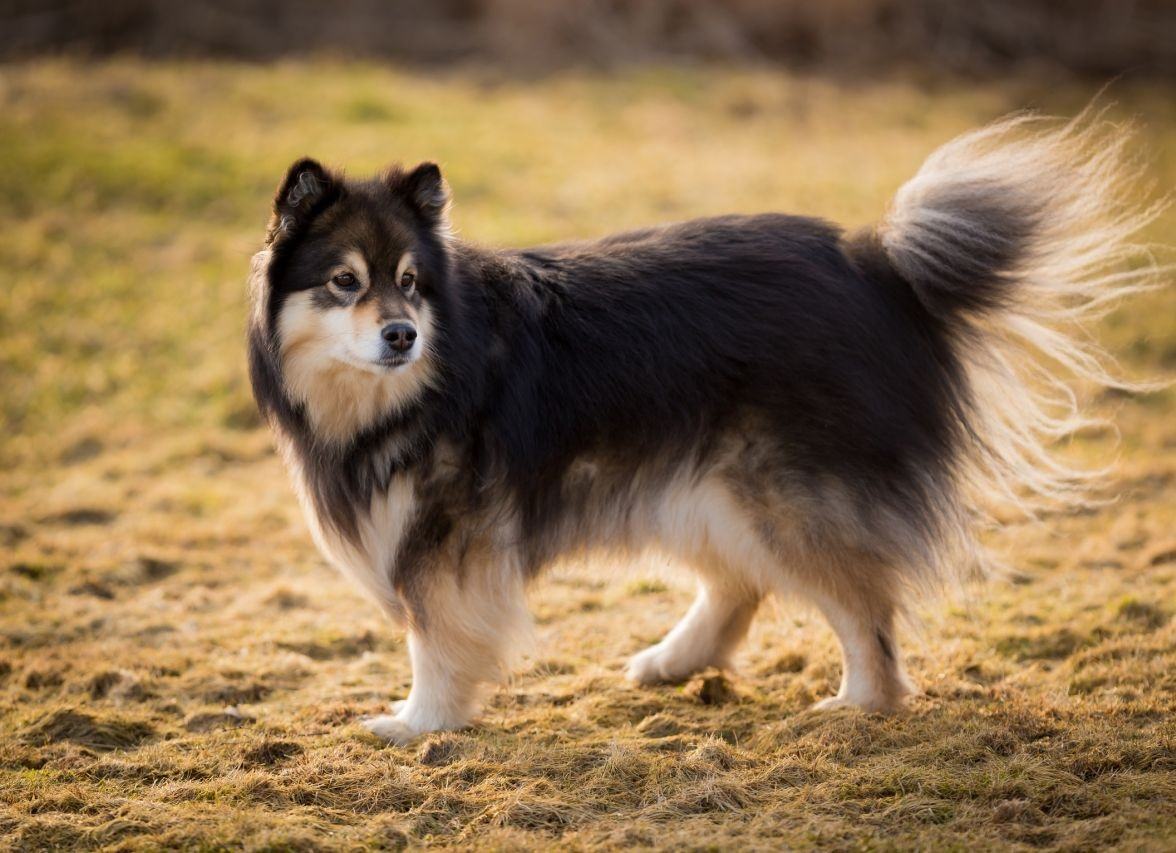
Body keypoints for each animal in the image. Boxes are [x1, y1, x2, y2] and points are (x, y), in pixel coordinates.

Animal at [245, 111, 1157, 738]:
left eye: (408, 281)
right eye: (344, 282)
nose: (402, 334)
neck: (423, 377)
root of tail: (877, 266)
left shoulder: (446, 537)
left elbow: (435, 635)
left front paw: (419, 721)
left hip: (778, 491)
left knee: (861, 602)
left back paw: (860, 703)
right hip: (698, 479)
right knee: (741, 583)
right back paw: (675, 660)